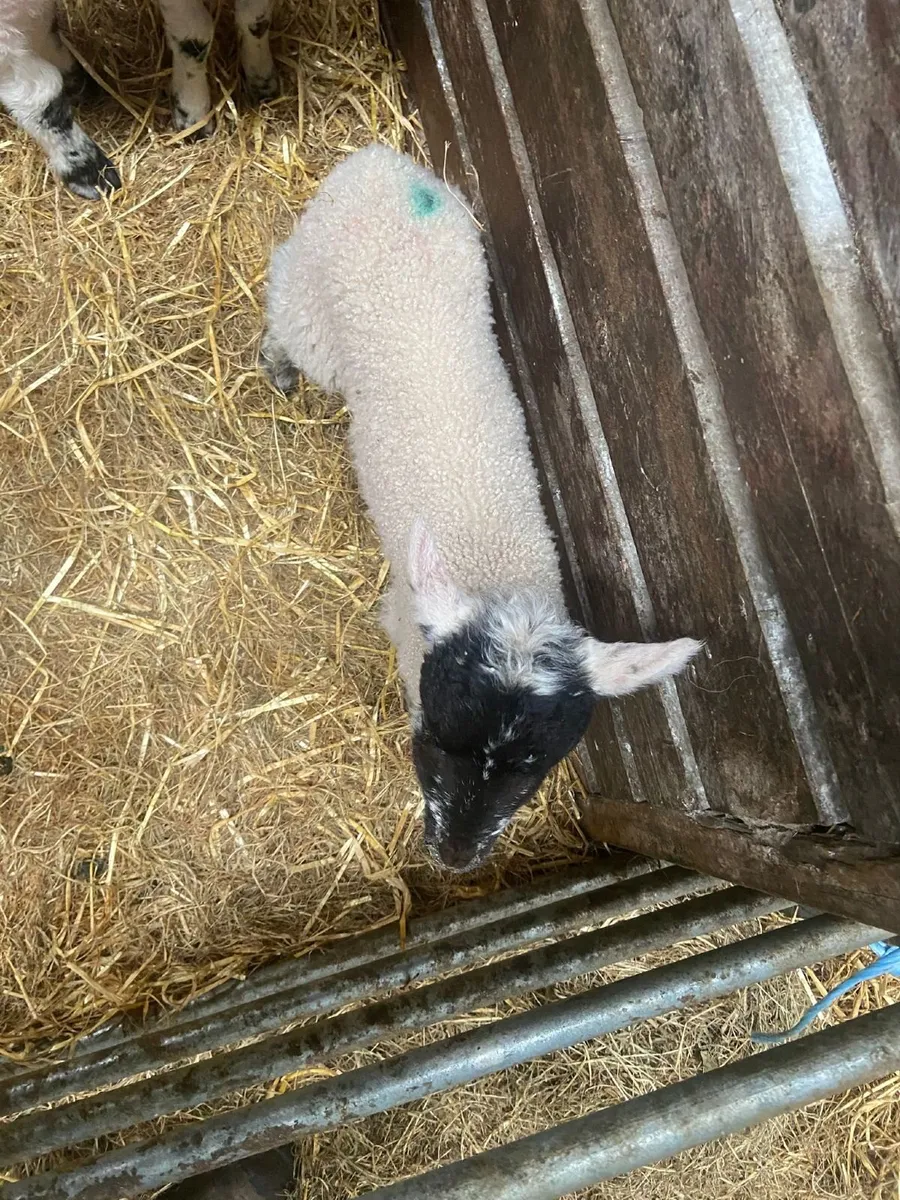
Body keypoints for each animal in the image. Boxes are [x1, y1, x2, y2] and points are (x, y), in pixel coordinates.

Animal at [0, 0, 277, 199]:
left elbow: (257, 19)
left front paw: (261, 79)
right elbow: (194, 35)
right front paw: (193, 117)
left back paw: (74, 77)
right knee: (35, 90)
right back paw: (89, 172)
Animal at [262, 143, 702, 872]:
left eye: (534, 770)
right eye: (438, 739)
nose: (456, 857)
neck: (496, 568)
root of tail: (378, 160)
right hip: (309, 295)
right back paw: (275, 364)